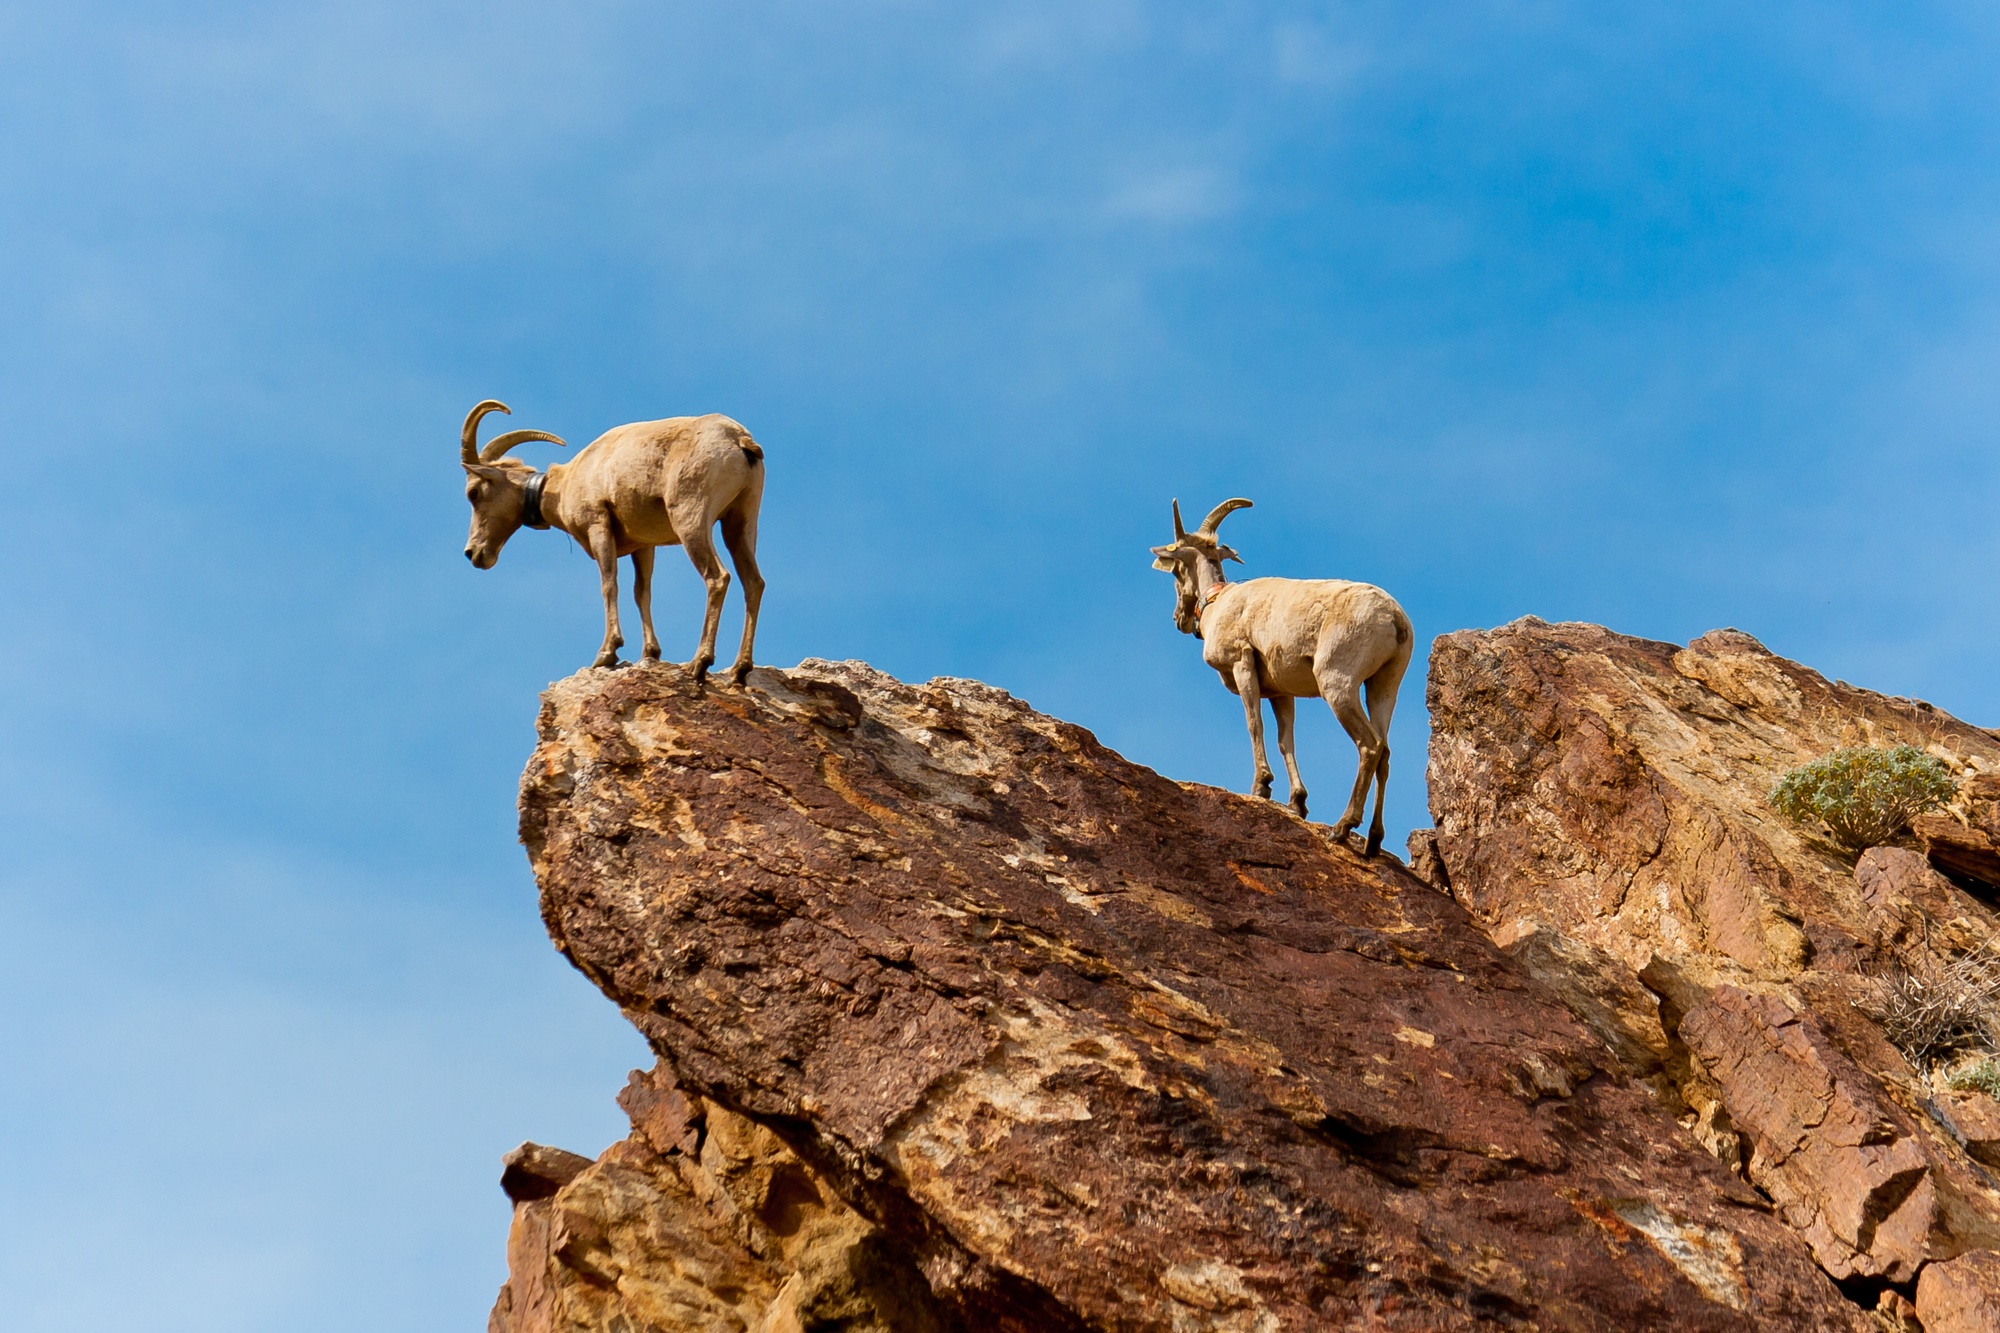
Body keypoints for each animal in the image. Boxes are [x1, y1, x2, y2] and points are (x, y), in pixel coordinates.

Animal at [460, 400, 764, 680]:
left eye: (473, 493)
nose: (473, 553)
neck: (566, 484)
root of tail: (738, 440)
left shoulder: (599, 526)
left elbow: (609, 584)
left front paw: (607, 653)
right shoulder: (644, 546)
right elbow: (641, 592)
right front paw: (650, 653)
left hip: (691, 521)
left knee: (717, 578)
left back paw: (699, 662)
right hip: (740, 522)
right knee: (753, 582)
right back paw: (739, 669)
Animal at [1152, 496, 1416, 852]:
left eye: (1177, 570)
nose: (1178, 619)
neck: (1219, 604)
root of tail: (1394, 619)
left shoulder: (1243, 662)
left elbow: (1255, 725)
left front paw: (1261, 786)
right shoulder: (1281, 691)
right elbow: (1285, 739)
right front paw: (1297, 803)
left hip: (1338, 684)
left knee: (1369, 746)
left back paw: (1342, 827)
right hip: (1384, 686)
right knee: (1385, 753)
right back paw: (1373, 841)